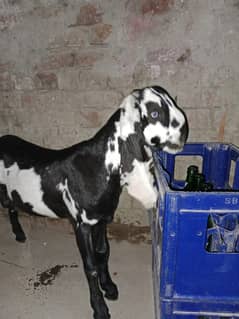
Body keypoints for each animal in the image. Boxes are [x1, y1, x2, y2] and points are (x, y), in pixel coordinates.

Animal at [0, 86, 189, 318]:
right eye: (154, 113)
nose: (184, 133)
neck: (97, 167)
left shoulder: (101, 219)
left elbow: (103, 253)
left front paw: (109, 287)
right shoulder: (81, 224)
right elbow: (90, 265)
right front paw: (100, 308)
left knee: (11, 207)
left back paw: (19, 234)